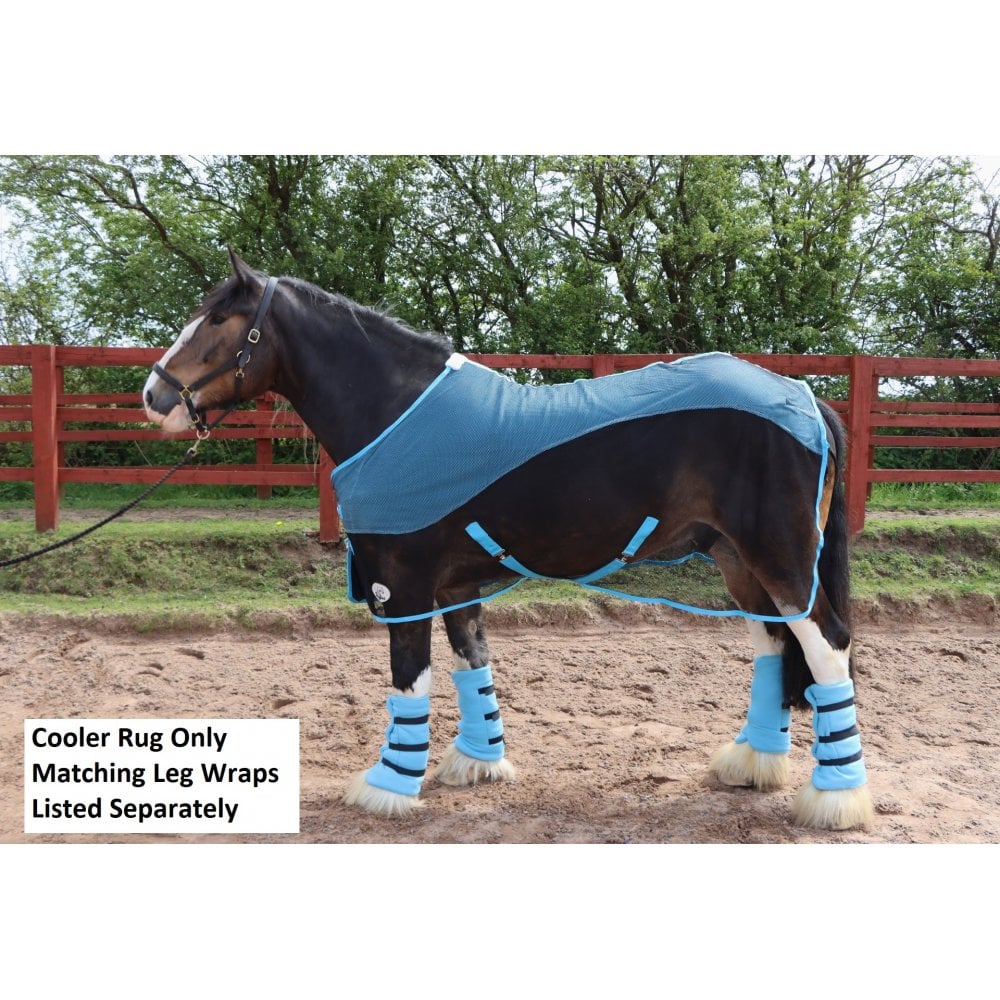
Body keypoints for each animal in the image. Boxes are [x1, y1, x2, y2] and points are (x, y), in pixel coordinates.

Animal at [143, 251, 875, 832]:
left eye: (220, 320)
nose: (154, 396)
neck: (400, 415)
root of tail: (805, 397)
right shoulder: (455, 585)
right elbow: (473, 666)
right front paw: (476, 763)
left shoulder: (402, 585)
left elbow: (409, 681)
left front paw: (387, 786)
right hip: (738, 563)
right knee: (774, 648)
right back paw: (752, 763)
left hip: (780, 560)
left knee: (826, 648)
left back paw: (836, 800)